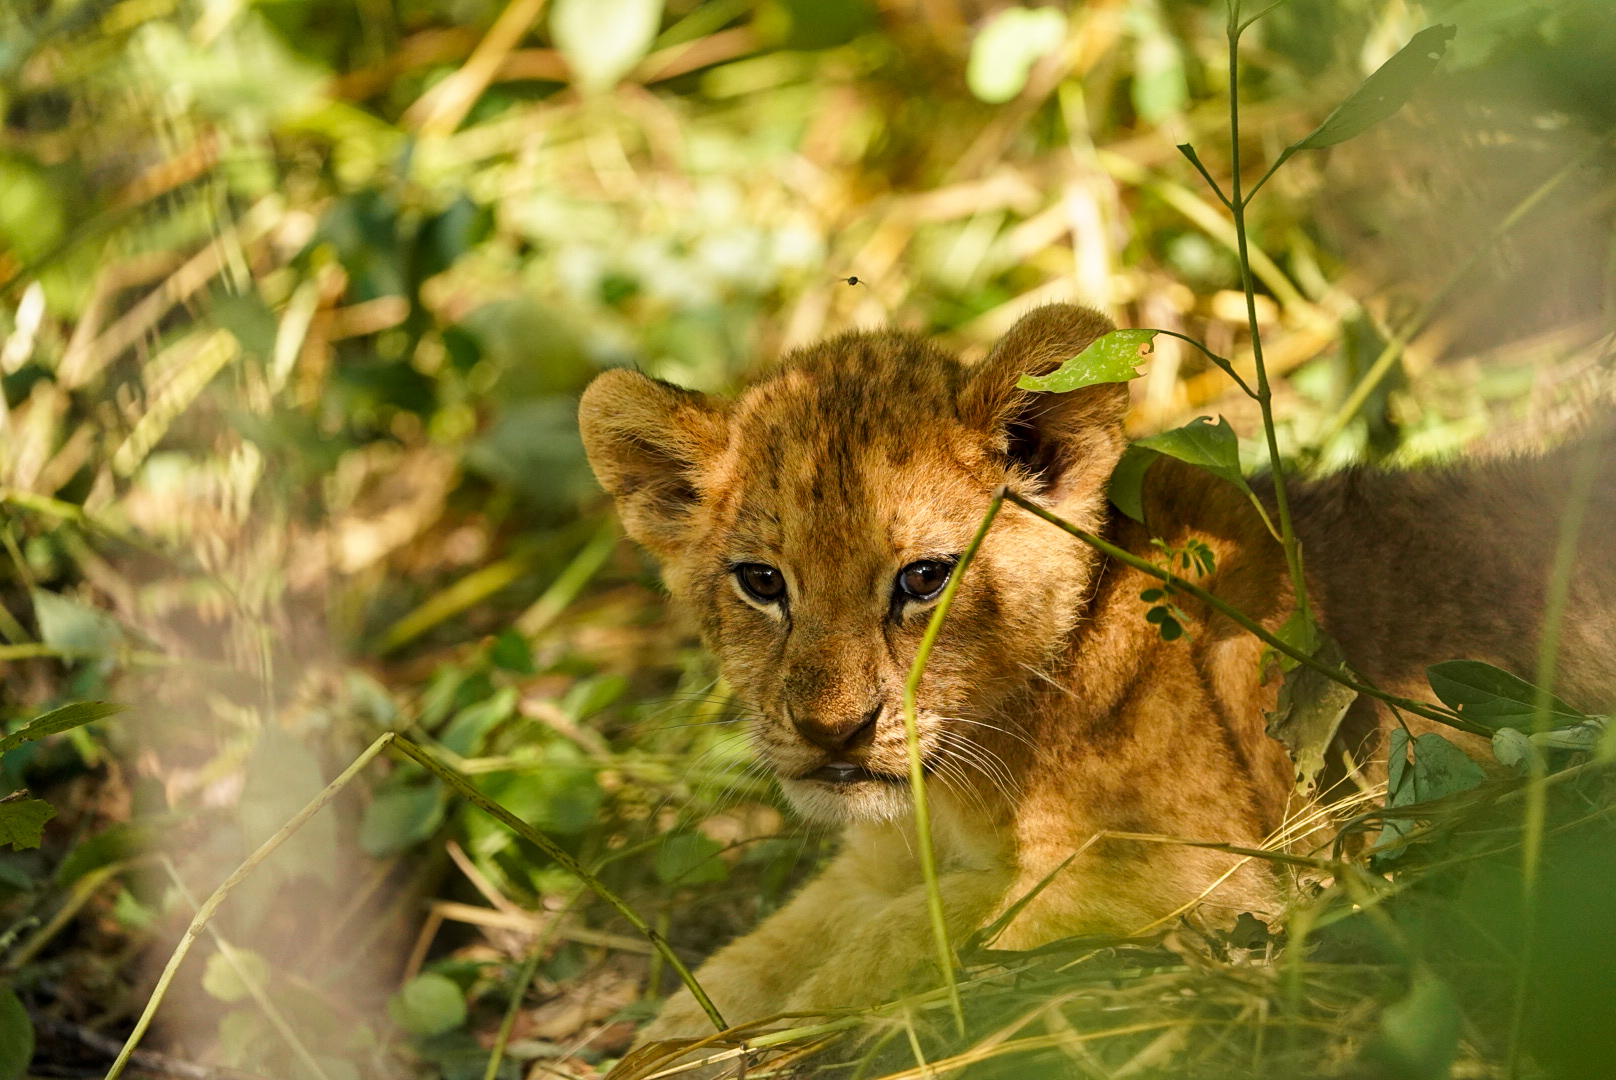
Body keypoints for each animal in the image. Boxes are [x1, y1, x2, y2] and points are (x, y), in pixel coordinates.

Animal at [577, 303, 1616, 1045]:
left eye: (924, 578)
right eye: (761, 582)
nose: (834, 732)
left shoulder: (1217, 878)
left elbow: (914, 936)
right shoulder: (879, 856)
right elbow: (755, 957)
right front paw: (669, 1040)